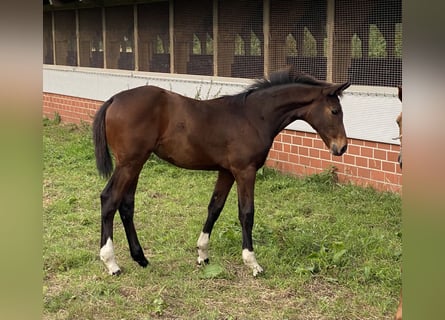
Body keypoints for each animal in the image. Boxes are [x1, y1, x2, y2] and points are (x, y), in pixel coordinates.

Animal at [92, 67, 350, 276]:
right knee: (109, 199)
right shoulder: (245, 171)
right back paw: (111, 263)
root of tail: (113, 99)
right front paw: (252, 263)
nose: (342, 147)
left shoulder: (226, 171)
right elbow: (246, 213)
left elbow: (214, 208)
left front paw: (203, 254)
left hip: (136, 163)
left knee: (126, 205)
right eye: (335, 111)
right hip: (129, 163)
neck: (253, 116)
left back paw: (141, 258)